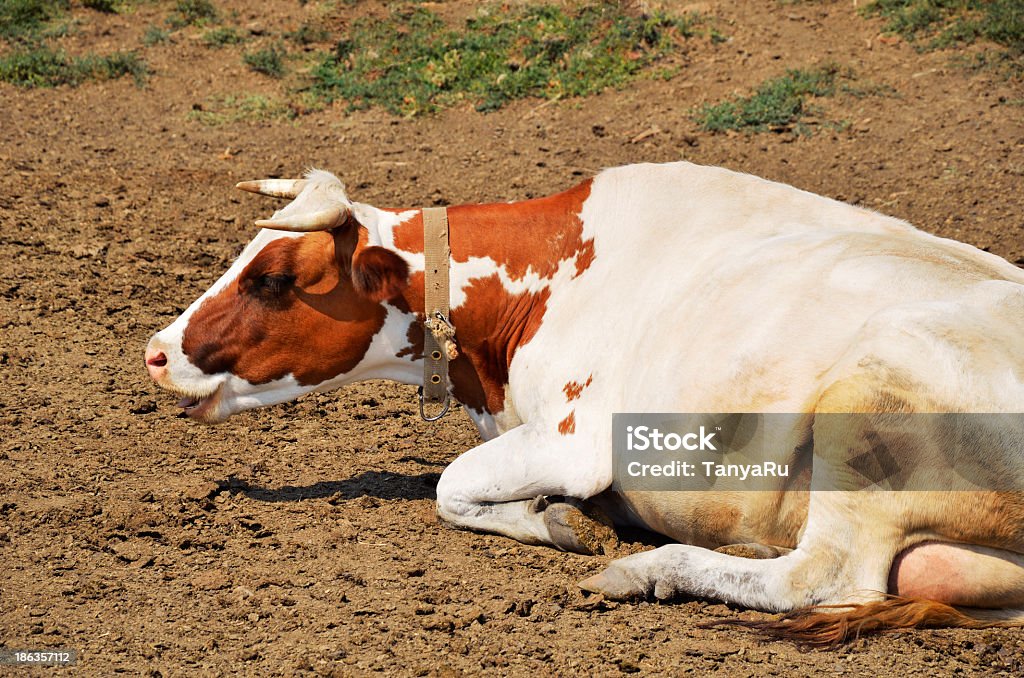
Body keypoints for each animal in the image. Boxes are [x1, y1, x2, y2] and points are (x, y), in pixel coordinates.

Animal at [146, 161, 1024, 647]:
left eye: (273, 279)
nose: (154, 352)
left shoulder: (575, 440)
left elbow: (449, 488)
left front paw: (561, 522)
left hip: (873, 399)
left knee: (821, 578)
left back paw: (645, 569)